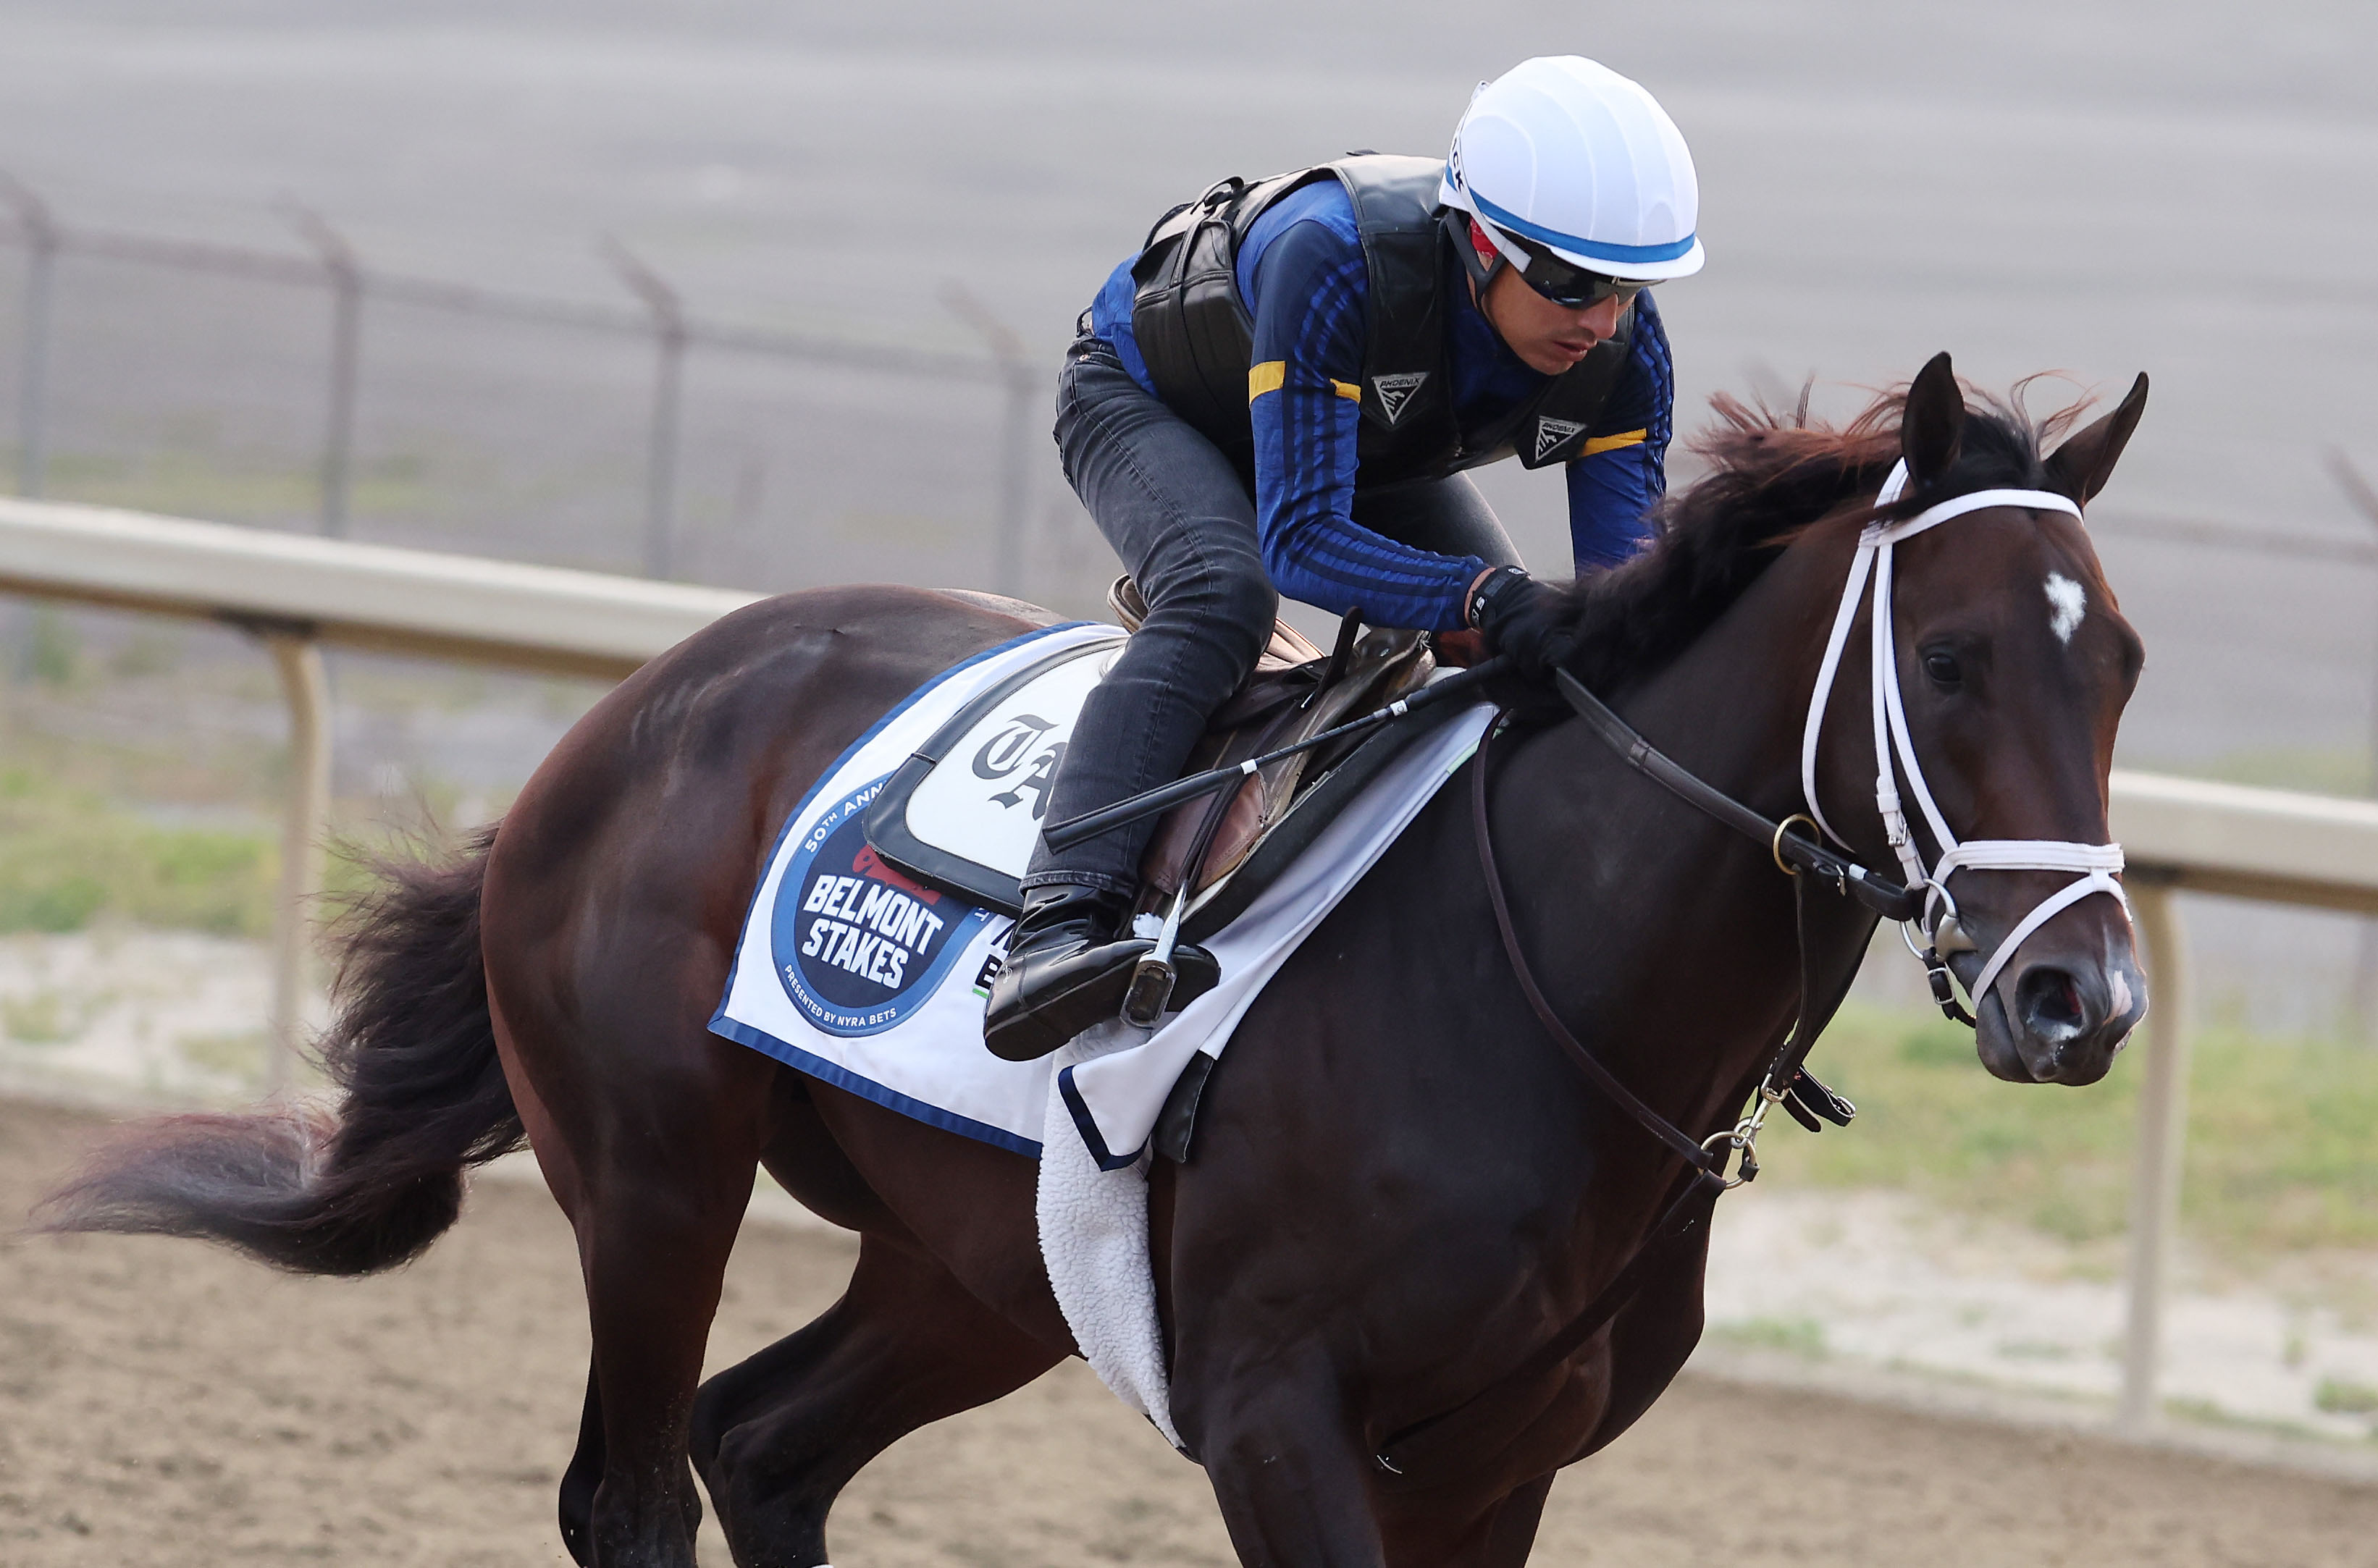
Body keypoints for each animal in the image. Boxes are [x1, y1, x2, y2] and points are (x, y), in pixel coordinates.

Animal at [37, 358, 2159, 1568]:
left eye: (2121, 662)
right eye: (1950, 657)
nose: (2082, 997)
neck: (1548, 991)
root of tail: (637, 700)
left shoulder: (1503, 1456)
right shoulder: (1281, 1418)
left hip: (981, 1262)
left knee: (763, 1445)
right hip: (651, 1181)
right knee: (628, 1490)